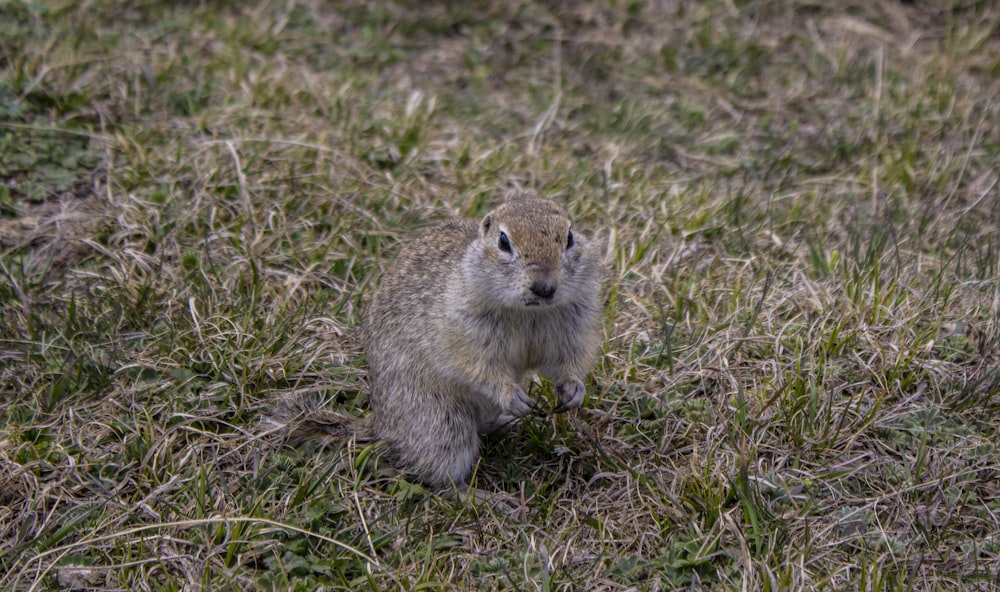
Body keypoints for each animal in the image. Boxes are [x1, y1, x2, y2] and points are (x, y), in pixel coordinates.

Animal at [288, 197, 600, 488]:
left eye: (570, 237)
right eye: (503, 241)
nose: (544, 287)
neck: (529, 312)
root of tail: (381, 426)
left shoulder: (573, 327)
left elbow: (566, 360)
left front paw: (574, 389)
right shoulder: (464, 335)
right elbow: (480, 369)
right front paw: (512, 395)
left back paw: (511, 423)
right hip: (441, 423)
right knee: (439, 474)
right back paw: (482, 495)